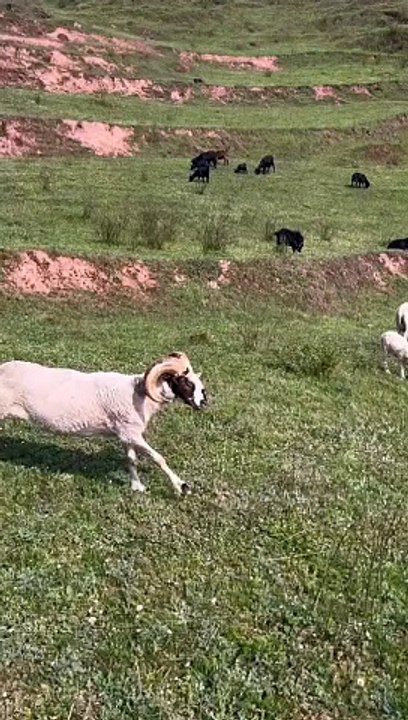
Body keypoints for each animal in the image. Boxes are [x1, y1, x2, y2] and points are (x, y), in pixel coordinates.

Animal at [0, 352, 207, 495]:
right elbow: (159, 458)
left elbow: (131, 460)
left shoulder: (125, 433)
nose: (204, 402)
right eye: (184, 381)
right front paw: (182, 487)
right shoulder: (132, 433)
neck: (140, 394)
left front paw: (137, 487)